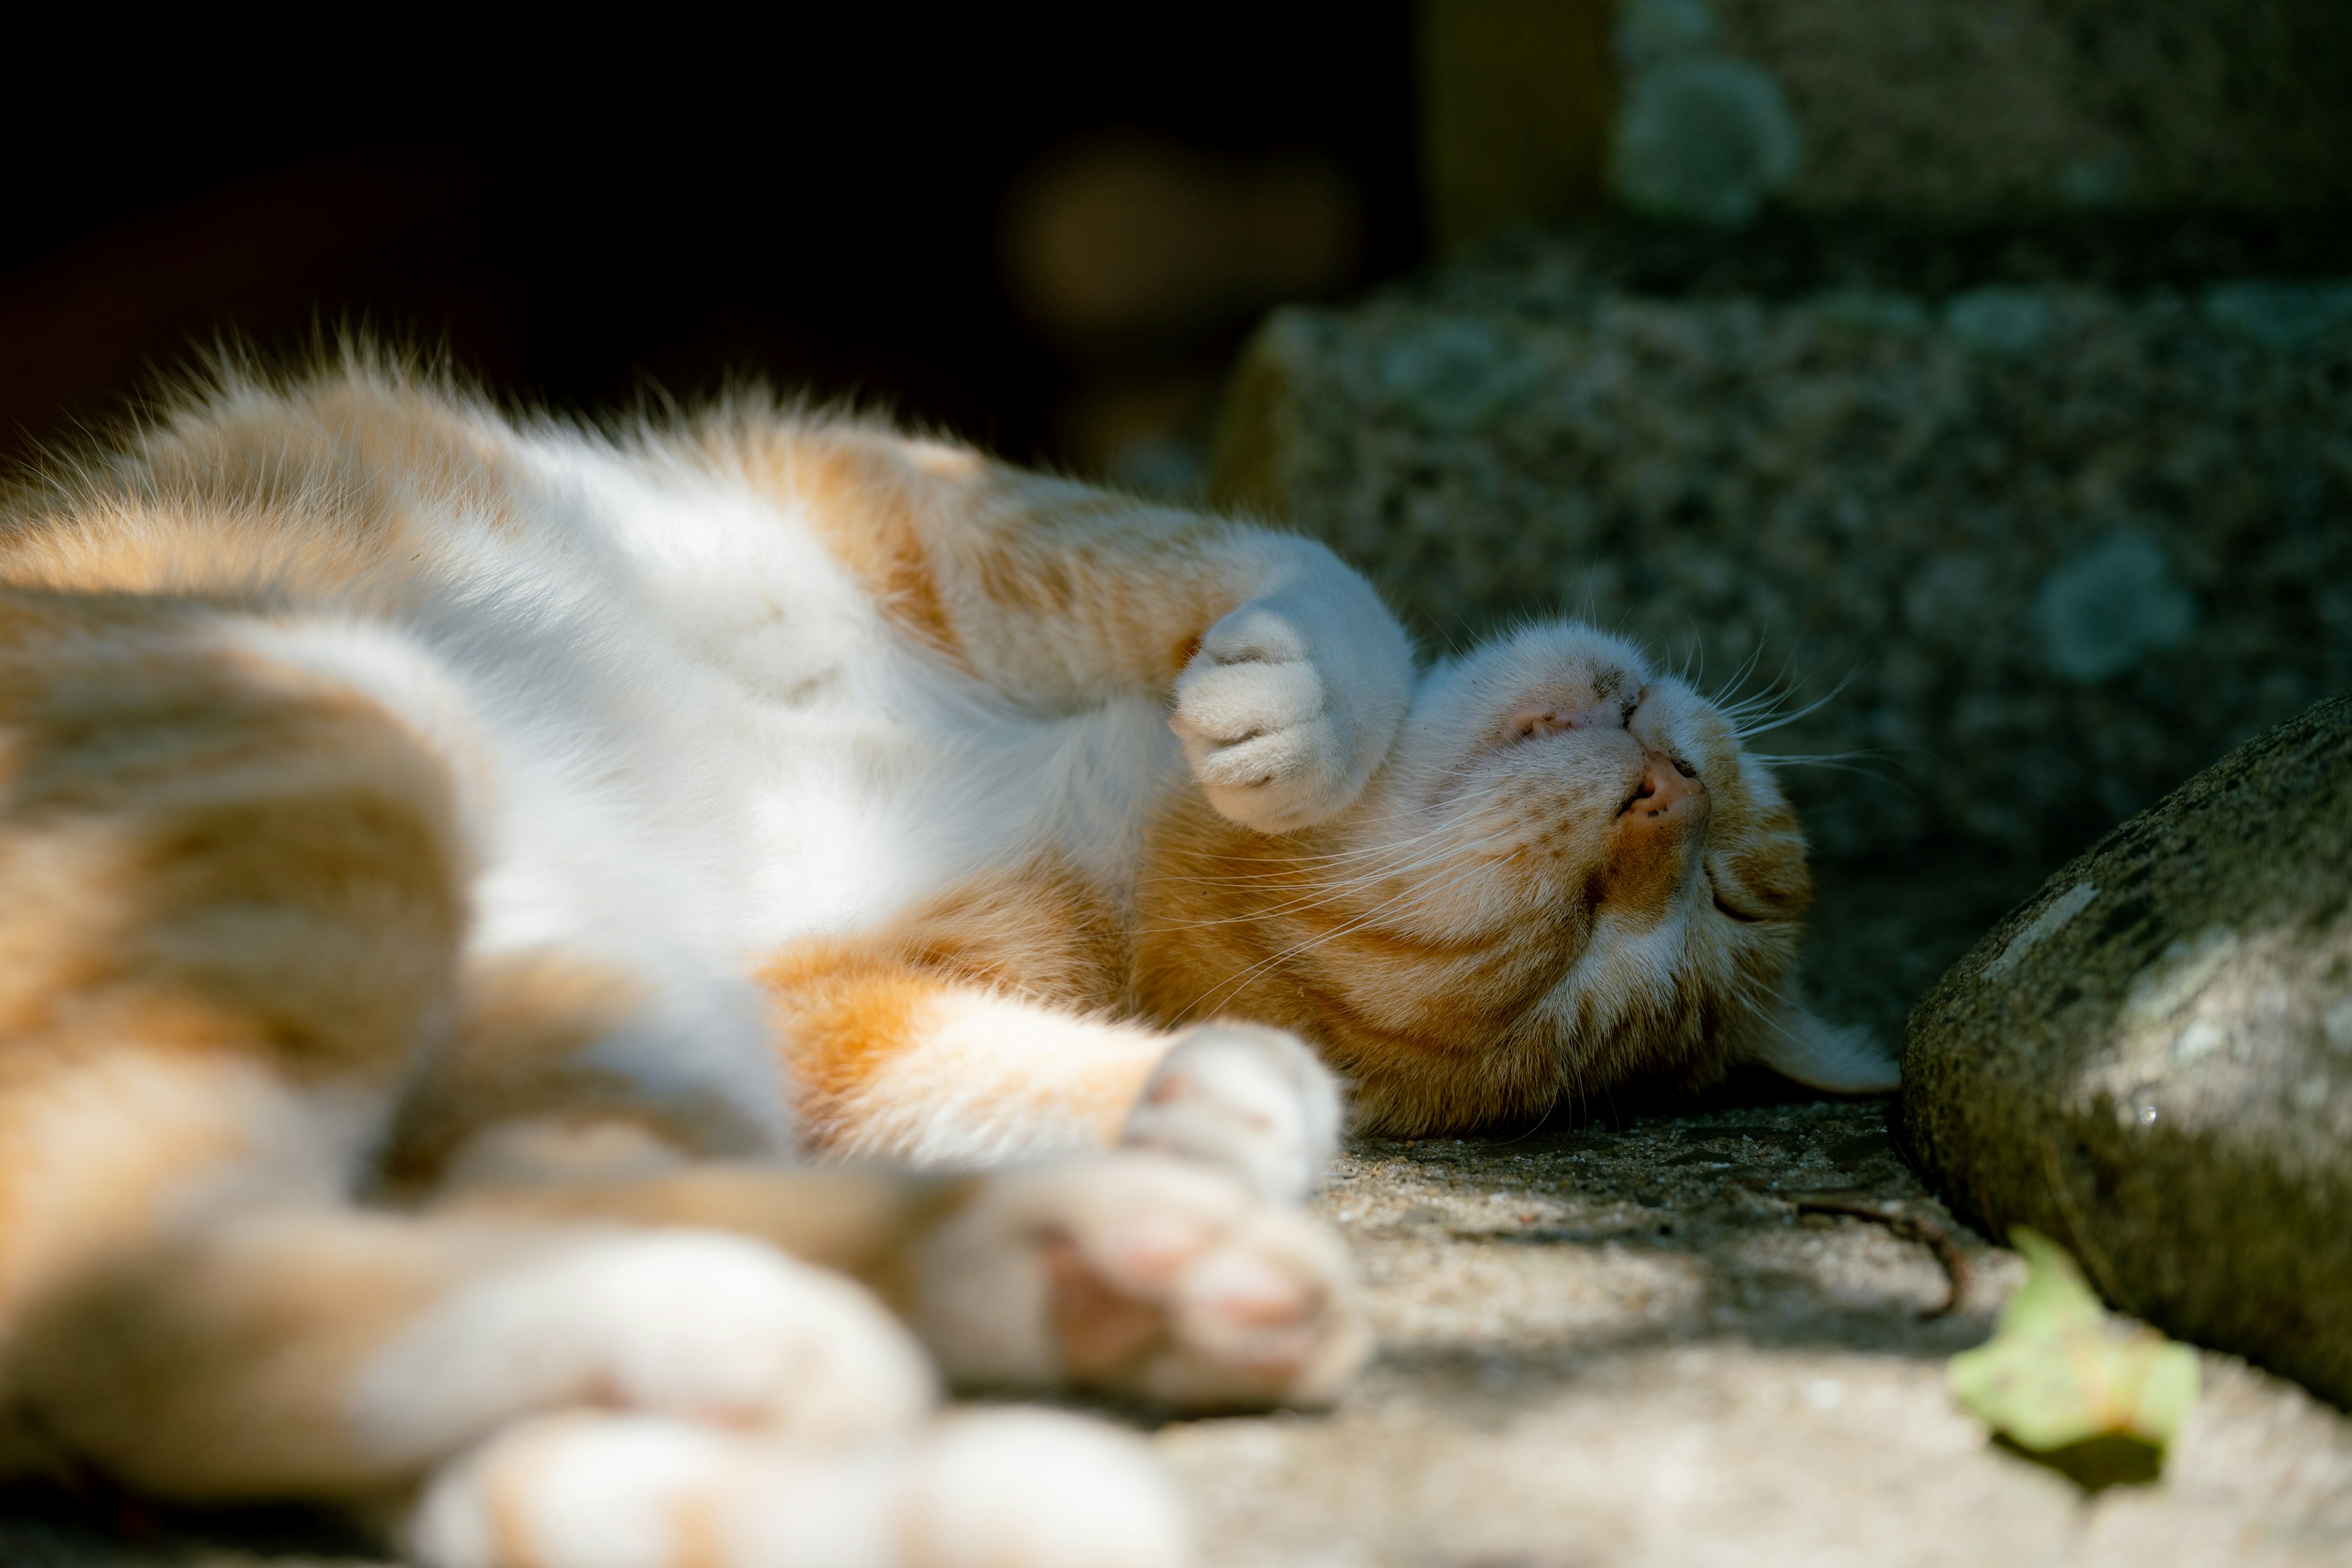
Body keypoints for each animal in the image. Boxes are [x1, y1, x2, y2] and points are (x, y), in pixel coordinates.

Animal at [0, 355, 1891, 1568]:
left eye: (1632, 932)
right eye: (1719, 861)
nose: (1664, 786)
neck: (1104, 791)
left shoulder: (820, 989)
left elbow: (949, 1053)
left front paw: (1216, 1090)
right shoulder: (916, 504)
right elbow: (1302, 568)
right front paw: (1301, 722)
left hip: (375, 781)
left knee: (153, 1301)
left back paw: (1036, 1312)